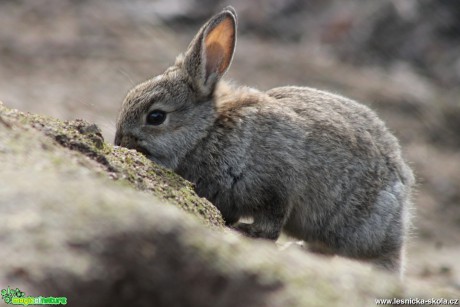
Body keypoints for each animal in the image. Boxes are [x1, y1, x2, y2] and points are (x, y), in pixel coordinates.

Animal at [114, 5, 414, 274]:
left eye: (155, 117)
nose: (119, 142)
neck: (205, 133)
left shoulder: (276, 186)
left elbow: (270, 224)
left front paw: (247, 231)